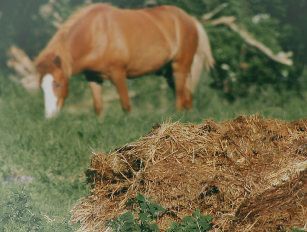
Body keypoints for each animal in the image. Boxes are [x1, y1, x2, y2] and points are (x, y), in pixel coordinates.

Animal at [35, 3, 214, 118]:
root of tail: (190, 19)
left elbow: (126, 105)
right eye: (42, 87)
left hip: (180, 66)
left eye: (58, 84)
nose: (50, 115)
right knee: (187, 96)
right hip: (169, 72)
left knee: (179, 96)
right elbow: (98, 107)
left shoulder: (118, 74)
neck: (96, 33)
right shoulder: (93, 78)